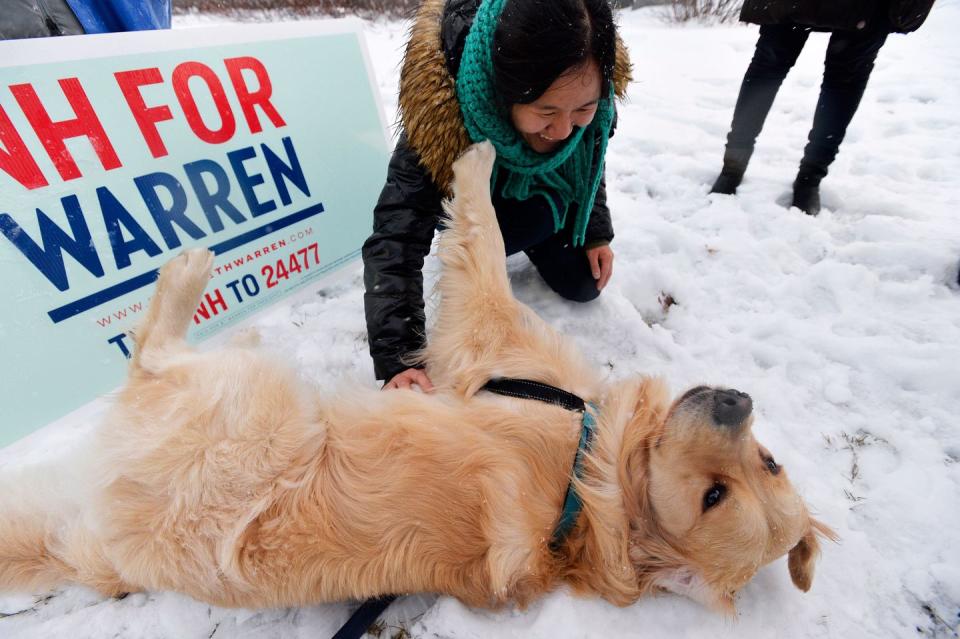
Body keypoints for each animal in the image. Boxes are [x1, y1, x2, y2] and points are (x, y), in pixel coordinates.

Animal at [0, 141, 832, 616]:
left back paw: (186, 271)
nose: (736, 401)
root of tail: (111, 544)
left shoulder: (488, 333)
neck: (590, 479)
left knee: (150, 350)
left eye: (715, 495)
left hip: (246, 402)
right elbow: (485, 235)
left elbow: (482, 237)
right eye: (767, 461)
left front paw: (478, 155)